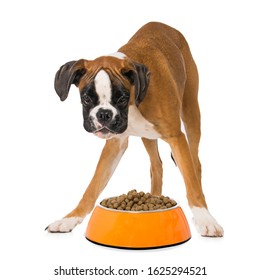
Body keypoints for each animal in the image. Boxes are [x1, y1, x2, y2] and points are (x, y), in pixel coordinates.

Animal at [46, 21, 223, 236]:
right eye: (86, 99)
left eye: (121, 98)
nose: (104, 114)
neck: (133, 101)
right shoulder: (115, 144)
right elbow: (93, 185)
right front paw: (70, 218)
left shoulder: (176, 137)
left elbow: (191, 182)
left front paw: (205, 218)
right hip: (148, 136)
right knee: (156, 165)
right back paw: (154, 198)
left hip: (191, 113)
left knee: (195, 164)